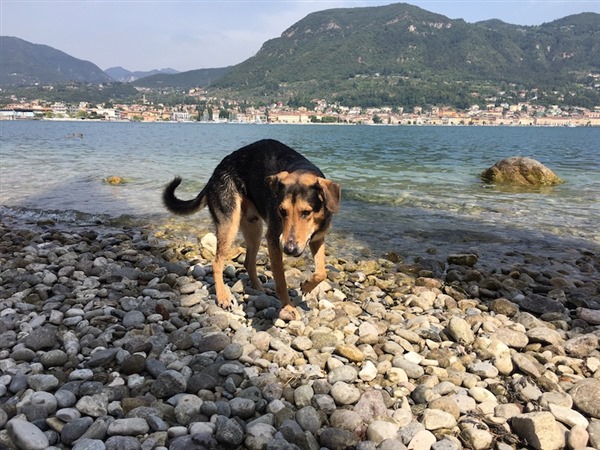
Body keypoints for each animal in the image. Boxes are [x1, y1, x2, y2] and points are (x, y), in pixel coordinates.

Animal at [164, 138, 340, 320]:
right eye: (282, 211)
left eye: (306, 212)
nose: (289, 249)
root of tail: (213, 176)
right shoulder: (274, 241)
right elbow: (281, 280)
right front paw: (288, 307)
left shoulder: (317, 239)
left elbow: (321, 272)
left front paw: (306, 286)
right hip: (230, 225)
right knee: (217, 263)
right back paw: (223, 296)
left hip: (255, 228)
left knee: (248, 262)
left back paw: (258, 287)